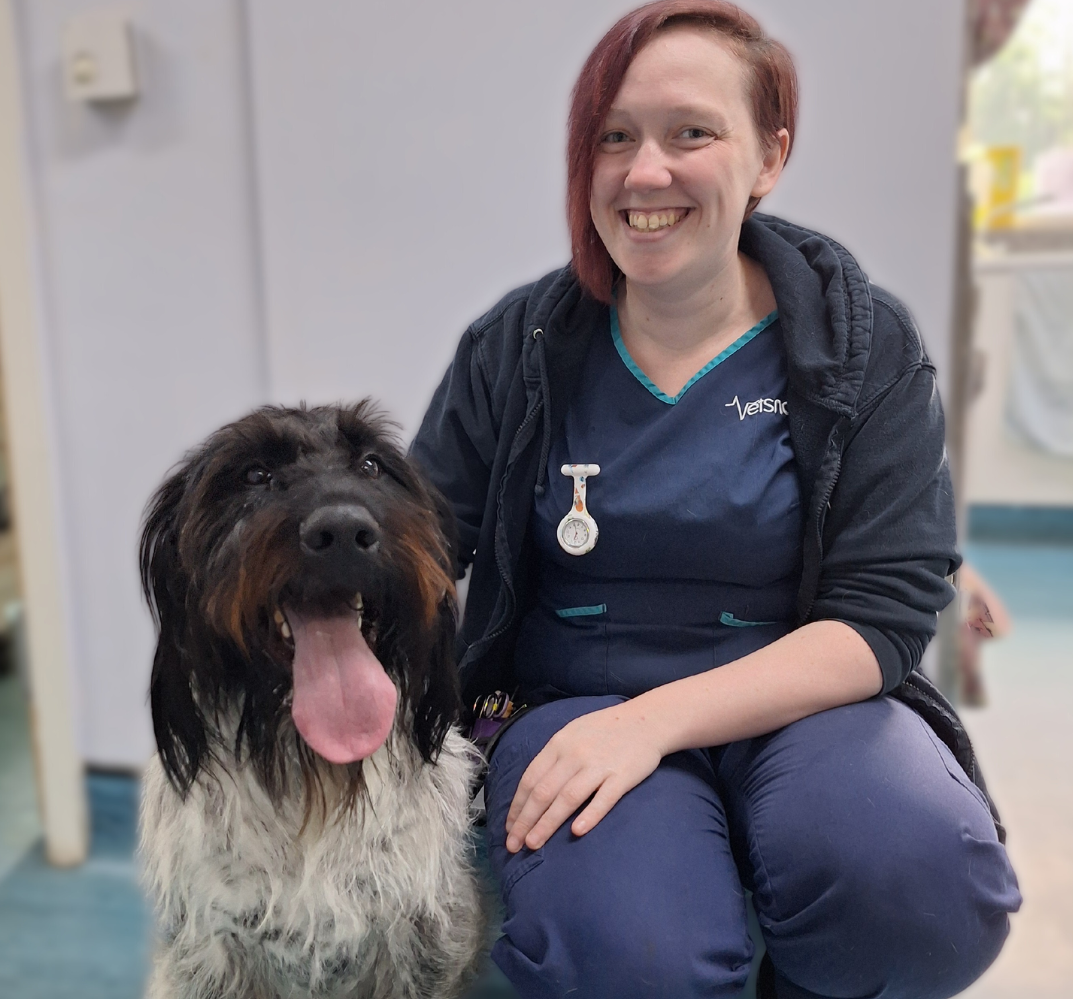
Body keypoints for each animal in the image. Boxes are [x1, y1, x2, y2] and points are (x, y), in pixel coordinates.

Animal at [136, 401, 484, 999]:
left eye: (372, 465)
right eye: (254, 474)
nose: (343, 529)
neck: (315, 775)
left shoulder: (423, 942)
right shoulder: (211, 954)